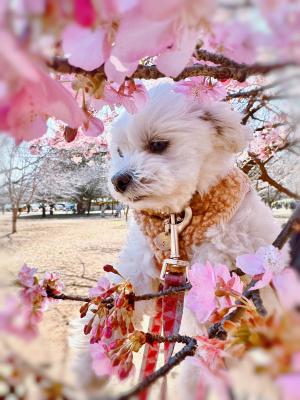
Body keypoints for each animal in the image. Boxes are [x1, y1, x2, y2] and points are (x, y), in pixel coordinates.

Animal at [72, 83, 284, 398]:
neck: (176, 218)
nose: (118, 180)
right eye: (120, 152)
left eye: (158, 145)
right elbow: (116, 301)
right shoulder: (142, 262)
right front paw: (88, 370)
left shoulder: (220, 254)